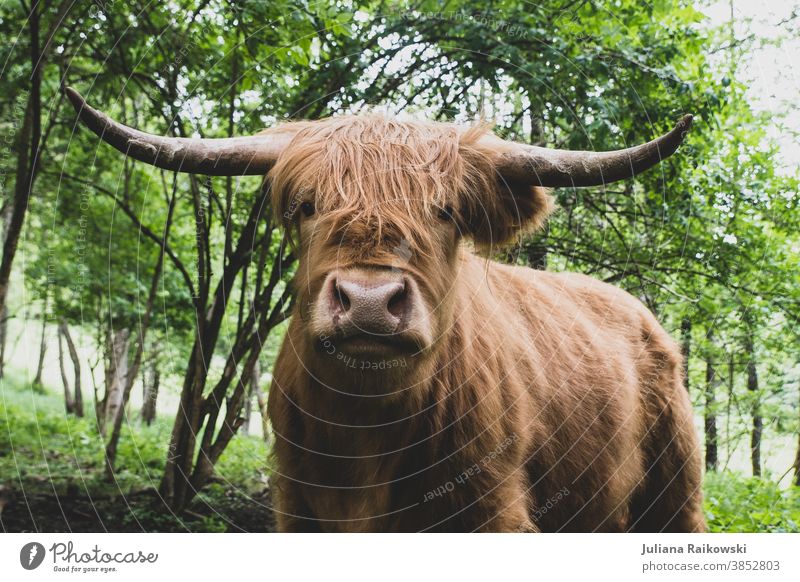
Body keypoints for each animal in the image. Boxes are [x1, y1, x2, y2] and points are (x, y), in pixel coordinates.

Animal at [69, 88, 708, 532]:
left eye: (446, 211)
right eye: (308, 206)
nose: (370, 303)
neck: (364, 435)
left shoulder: (493, 506)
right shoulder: (295, 503)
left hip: (675, 497)